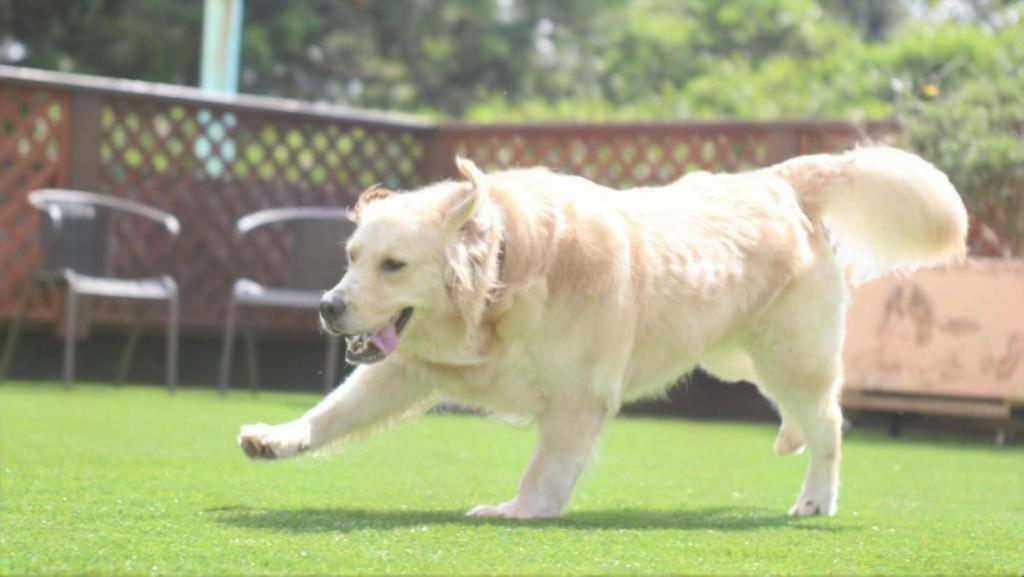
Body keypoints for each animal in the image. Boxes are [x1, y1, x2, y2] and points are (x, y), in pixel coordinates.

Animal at [239, 147, 966, 518]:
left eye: (394, 265)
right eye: (351, 256)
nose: (327, 306)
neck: (505, 274)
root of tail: (778, 180)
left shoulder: (577, 397)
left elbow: (545, 469)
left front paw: (517, 510)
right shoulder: (408, 366)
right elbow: (335, 410)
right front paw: (278, 437)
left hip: (790, 357)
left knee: (831, 423)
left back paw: (817, 498)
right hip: (735, 356)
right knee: (804, 415)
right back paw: (791, 443)